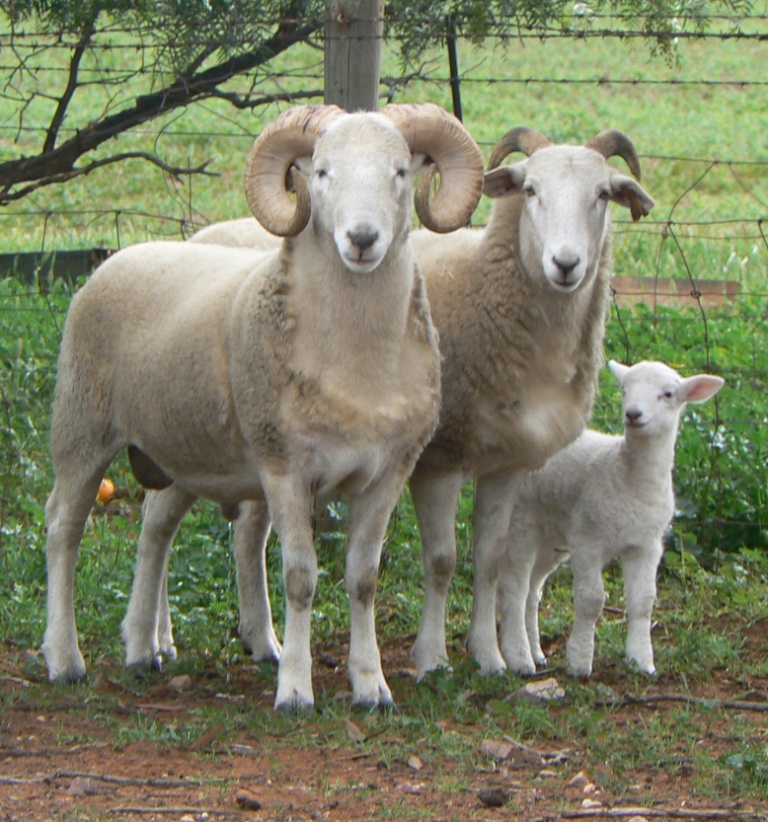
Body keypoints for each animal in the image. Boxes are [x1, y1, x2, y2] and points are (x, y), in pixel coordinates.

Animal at [41, 102, 485, 710]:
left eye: (400, 171)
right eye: (321, 172)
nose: (362, 238)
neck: (355, 364)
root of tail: (119, 257)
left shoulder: (387, 473)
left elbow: (363, 578)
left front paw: (370, 684)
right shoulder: (286, 467)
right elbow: (300, 577)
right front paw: (295, 688)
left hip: (183, 449)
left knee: (156, 527)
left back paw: (143, 646)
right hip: (82, 425)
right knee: (63, 529)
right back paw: (65, 659)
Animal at [496, 359, 725, 677]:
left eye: (668, 394)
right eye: (624, 389)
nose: (633, 414)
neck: (629, 476)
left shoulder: (646, 544)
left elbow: (644, 601)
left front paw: (642, 661)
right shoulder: (588, 539)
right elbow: (591, 600)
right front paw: (580, 662)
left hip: (551, 536)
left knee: (533, 590)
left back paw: (536, 652)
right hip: (521, 520)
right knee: (513, 588)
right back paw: (519, 657)